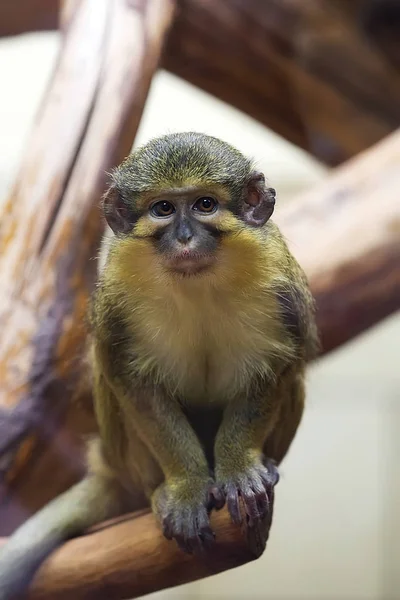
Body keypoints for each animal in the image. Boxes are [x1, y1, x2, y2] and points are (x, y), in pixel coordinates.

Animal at [0, 132, 318, 600]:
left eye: (204, 204)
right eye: (163, 208)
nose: (184, 237)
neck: (197, 282)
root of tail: (110, 468)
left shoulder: (280, 285)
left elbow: (276, 367)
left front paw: (240, 468)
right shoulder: (115, 295)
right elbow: (133, 384)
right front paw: (185, 489)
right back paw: (158, 493)